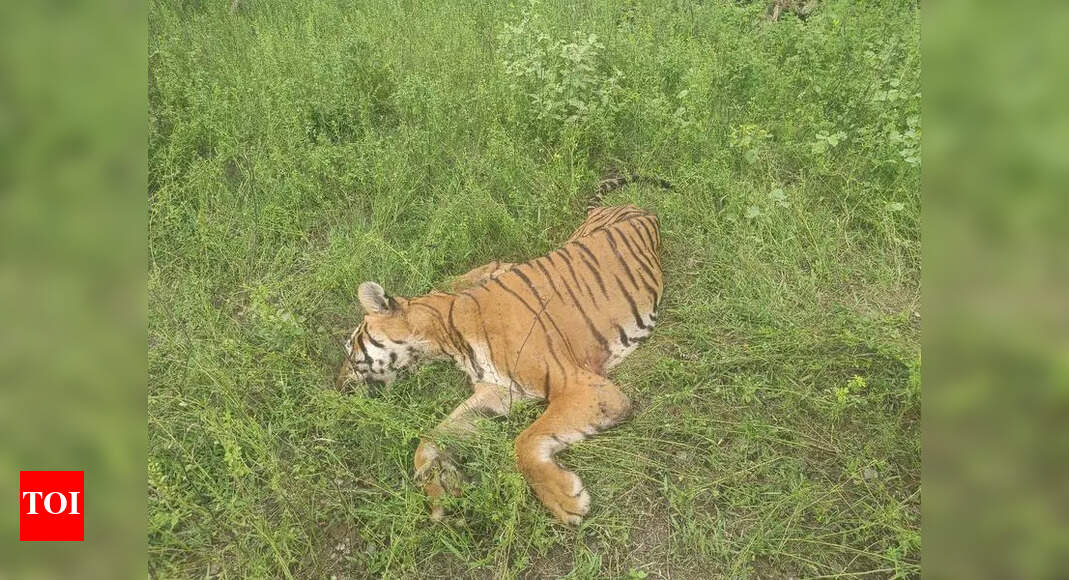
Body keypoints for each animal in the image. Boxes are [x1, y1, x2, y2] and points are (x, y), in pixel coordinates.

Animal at [336, 180, 664, 525]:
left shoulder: (586, 387)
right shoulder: (496, 392)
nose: (338, 386)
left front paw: (564, 499)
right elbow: (431, 437)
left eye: (350, 347)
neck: (448, 337)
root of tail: (636, 207)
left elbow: (525, 440)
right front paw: (441, 488)